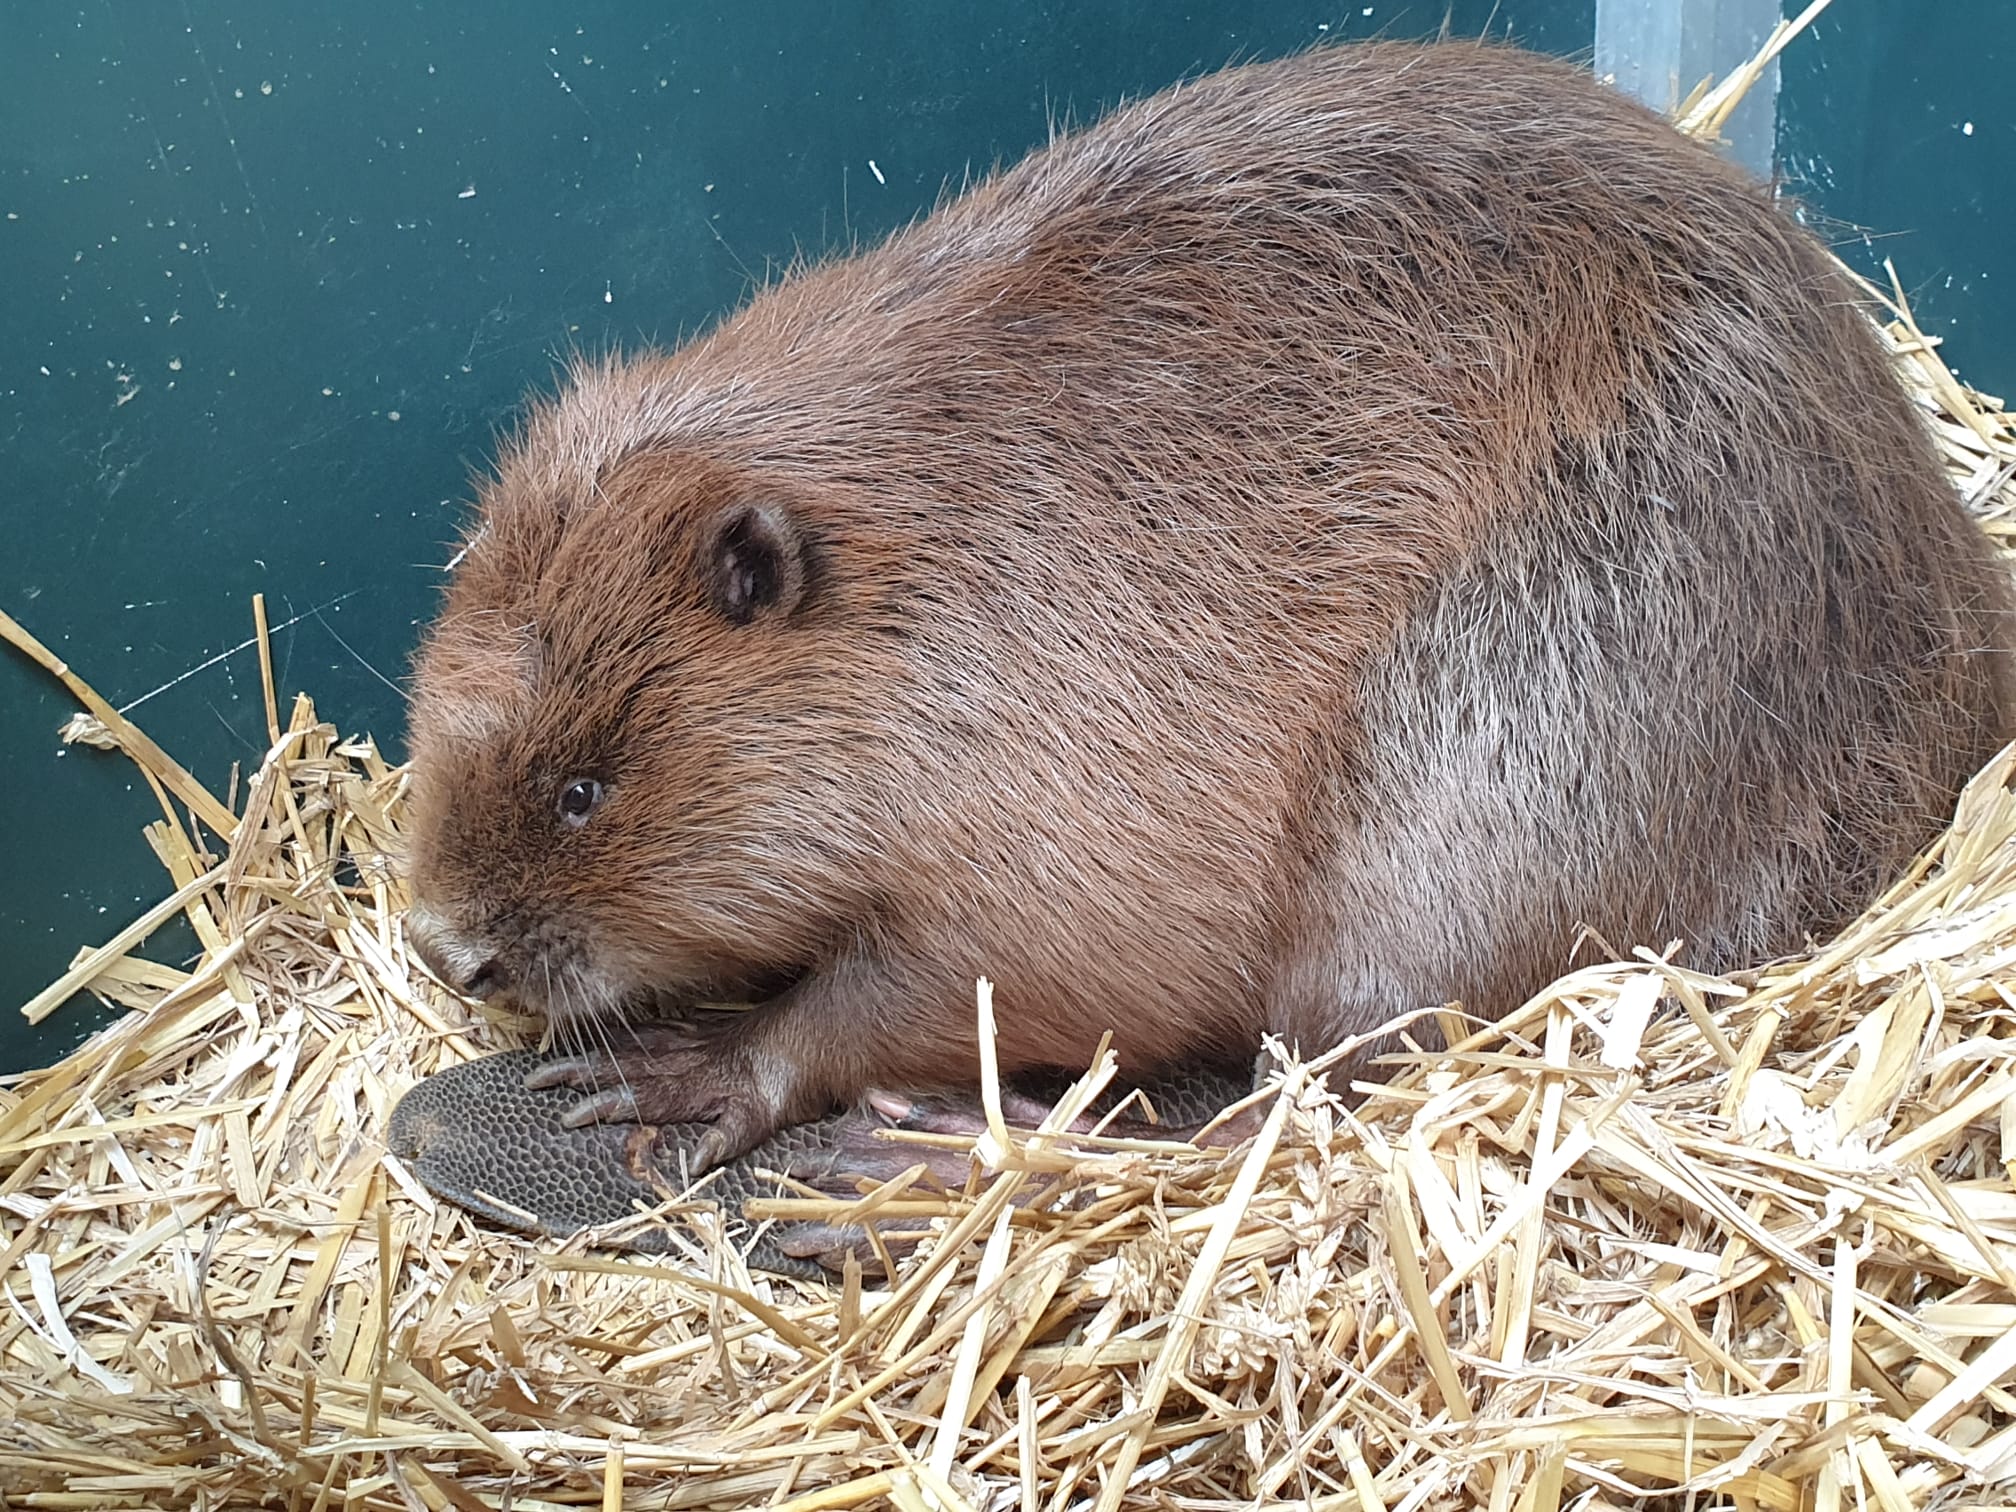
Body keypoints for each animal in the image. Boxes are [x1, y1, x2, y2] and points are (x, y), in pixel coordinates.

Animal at [393, 41, 2016, 1193]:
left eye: (585, 790)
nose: (453, 954)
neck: (936, 545)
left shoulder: (1067, 783)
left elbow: (993, 973)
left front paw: (688, 1072)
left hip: (1509, 739)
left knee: (1312, 1092)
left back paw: (933, 1161)